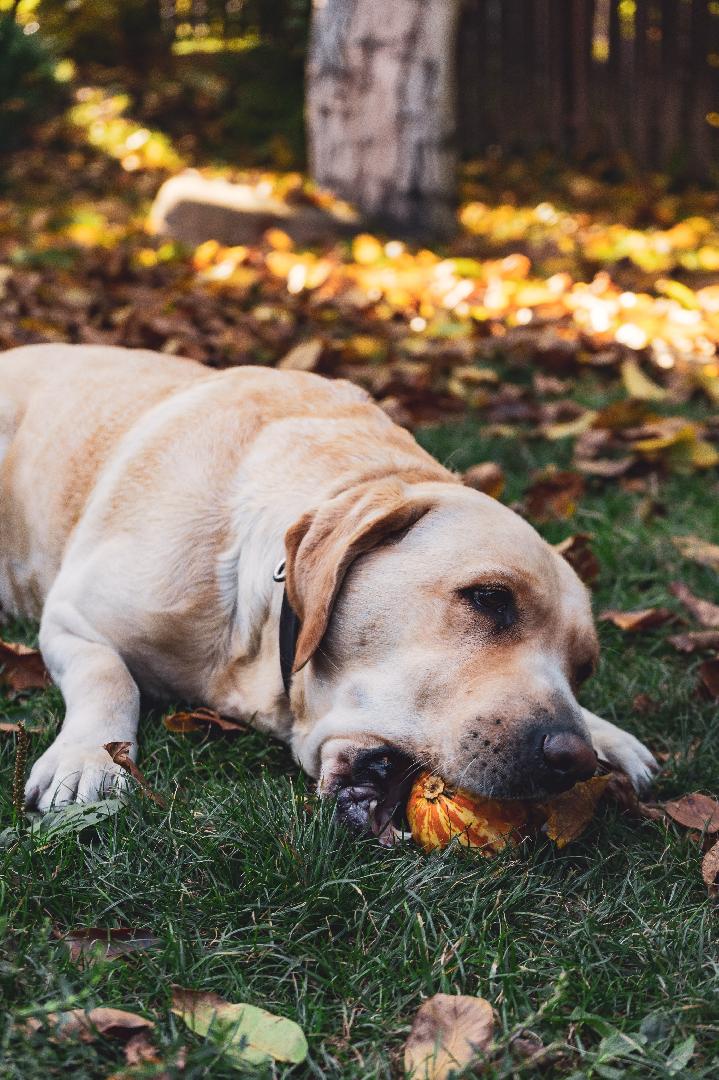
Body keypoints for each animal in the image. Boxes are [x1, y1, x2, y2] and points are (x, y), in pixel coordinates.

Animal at [0, 345, 652, 833]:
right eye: (490, 598)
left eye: (583, 669)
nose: (572, 759)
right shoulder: (72, 618)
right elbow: (108, 675)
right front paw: (88, 756)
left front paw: (608, 734)